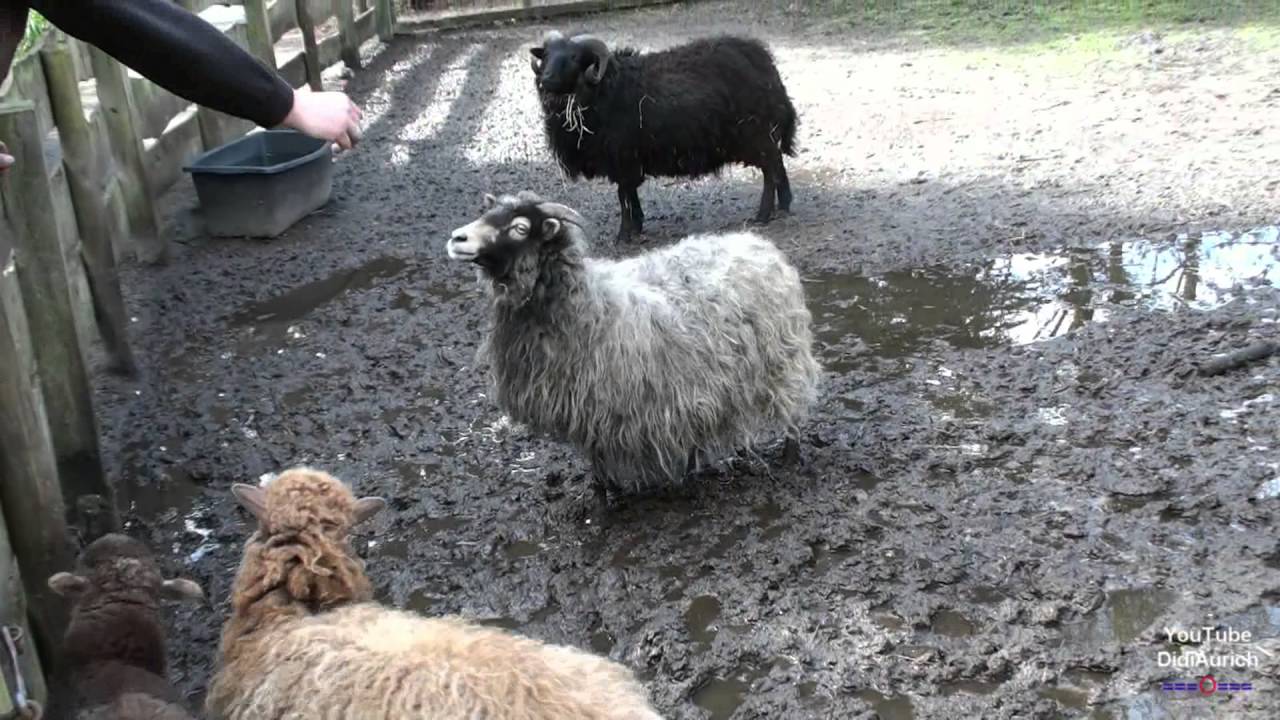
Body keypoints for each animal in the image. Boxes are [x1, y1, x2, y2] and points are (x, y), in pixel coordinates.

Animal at [446, 190, 821, 497]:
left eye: (520, 228)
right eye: (487, 213)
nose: (456, 238)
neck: (586, 307)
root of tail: (758, 245)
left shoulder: (601, 403)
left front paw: (608, 498)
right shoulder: (588, 411)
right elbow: (595, 459)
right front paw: (603, 491)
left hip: (781, 361)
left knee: (792, 412)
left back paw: (789, 456)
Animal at [529, 30, 798, 243]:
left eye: (574, 57)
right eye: (546, 56)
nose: (546, 79)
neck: (602, 89)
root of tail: (764, 61)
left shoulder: (623, 157)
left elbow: (623, 196)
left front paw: (624, 234)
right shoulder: (626, 161)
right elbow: (629, 194)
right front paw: (637, 226)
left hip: (755, 134)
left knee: (771, 170)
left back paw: (763, 215)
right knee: (777, 164)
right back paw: (784, 206)